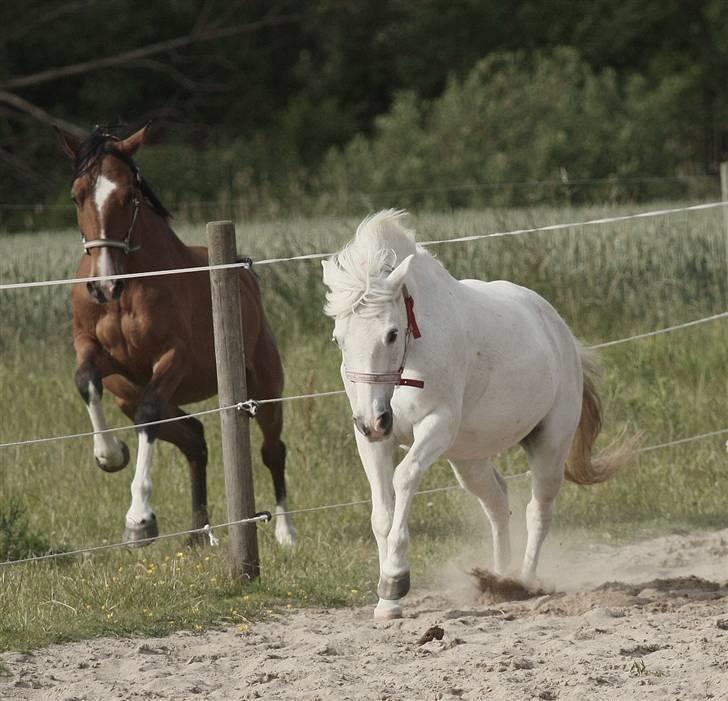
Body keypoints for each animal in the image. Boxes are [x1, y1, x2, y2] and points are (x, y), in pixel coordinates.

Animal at [57, 124, 296, 548]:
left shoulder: (172, 358)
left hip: (264, 388)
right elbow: (85, 381)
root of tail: (245, 273)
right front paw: (111, 455)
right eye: (77, 194)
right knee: (193, 437)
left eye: (129, 195)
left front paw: (138, 520)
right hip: (129, 396)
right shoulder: (97, 352)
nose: (103, 286)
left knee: (272, 450)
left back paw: (285, 532)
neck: (129, 286)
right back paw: (198, 531)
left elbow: (149, 416)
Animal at [322, 208, 628, 616]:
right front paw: (387, 602)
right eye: (338, 338)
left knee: (538, 510)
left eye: (390, 334)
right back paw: (498, 579)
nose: (373, 421)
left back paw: (522, 582)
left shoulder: (437, 426)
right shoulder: (373, 442)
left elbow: (404, 479)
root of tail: (559, 330)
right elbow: (382, 512)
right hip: (468, 458)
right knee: (497, 501)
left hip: (549, 445)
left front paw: (396, 579)